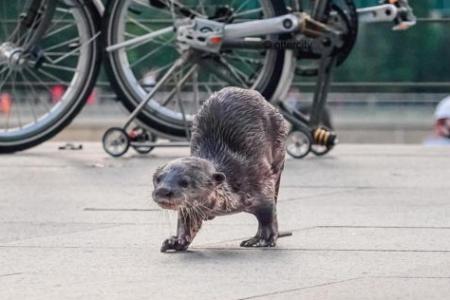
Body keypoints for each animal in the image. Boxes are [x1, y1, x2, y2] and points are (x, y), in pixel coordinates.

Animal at [151, 87, 286, 253]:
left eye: (185, 182)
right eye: (158, 179)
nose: (163, 190)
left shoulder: (258, 180)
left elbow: (268, 213)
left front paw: (264, 239)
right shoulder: (190, 209)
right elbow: (186, 223)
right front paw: (175, 241)